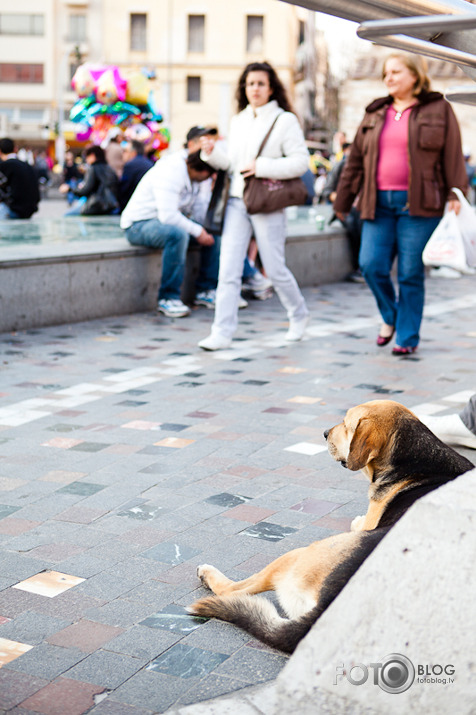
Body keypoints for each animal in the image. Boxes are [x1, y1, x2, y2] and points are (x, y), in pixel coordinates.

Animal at [188, 402, 474, 656]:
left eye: (346, 425)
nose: (325, 432)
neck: (415, 459)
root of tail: (325, 609)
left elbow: (361, 521)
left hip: (297, 555)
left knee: (235, 589)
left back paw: (209, 575)